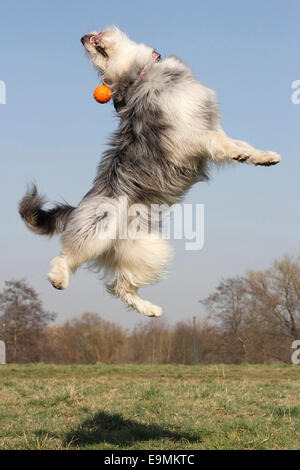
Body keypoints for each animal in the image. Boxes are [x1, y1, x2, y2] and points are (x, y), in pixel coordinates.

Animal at [19, 27, 282, 318]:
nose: (81, 38)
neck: (143, 72)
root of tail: (77, 209)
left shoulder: (210, 125)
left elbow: (239, 142)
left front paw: (263, 156)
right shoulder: (185, 137)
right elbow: (217, 141)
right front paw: (240, 155)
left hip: (151, 251)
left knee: (119, 287)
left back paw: (149, 309)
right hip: (102, 222)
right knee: (68, 254)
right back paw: (59, 277)